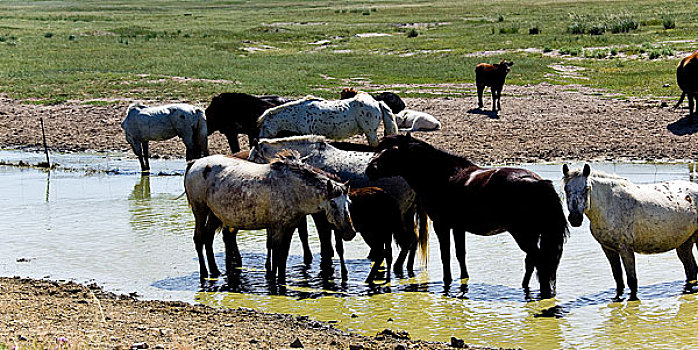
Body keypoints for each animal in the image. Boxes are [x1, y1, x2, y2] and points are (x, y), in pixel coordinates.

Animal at [184, 153, 354, 284]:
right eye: (332, 203)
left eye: (349, 202)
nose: (350, 232)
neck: (293, 189)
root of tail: (194, 164)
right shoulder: (278, 227)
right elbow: (277, 255)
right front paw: (275, 281)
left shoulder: (290, 226)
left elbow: (283, 256)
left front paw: (280, 280)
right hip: (200, 210)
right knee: (199, 239)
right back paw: (204, 273)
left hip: (214, 214)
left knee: (208, 239)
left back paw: (215, 271)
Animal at [247, 135, 426, 278]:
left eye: (252, 158)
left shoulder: (318, 213)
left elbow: (322, 238)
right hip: (406, 213)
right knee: (413, 240)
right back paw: (406, 266)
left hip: (399, 216)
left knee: (407, 241)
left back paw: (397, 266)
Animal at [364, 134, 564, 298]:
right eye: (378, 149)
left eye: (392, 151)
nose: (369, 170)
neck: (443, 176)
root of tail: (539, 183)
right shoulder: (458, 227)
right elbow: (460, 254)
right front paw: (463, 280)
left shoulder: (442, 225)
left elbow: (446, 255)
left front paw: (448, 282)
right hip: (532, 233)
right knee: (532, 261)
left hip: (523, 233)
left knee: (539, 261)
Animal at [560, 164, 696, 300]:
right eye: (566, 189)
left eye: (586, 188)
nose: (575, 219)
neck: (610, 204)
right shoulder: (608, 249)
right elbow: (618, 279)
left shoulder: (626, 249)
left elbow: (632, 281)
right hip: (684, 244)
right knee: (691, 270)